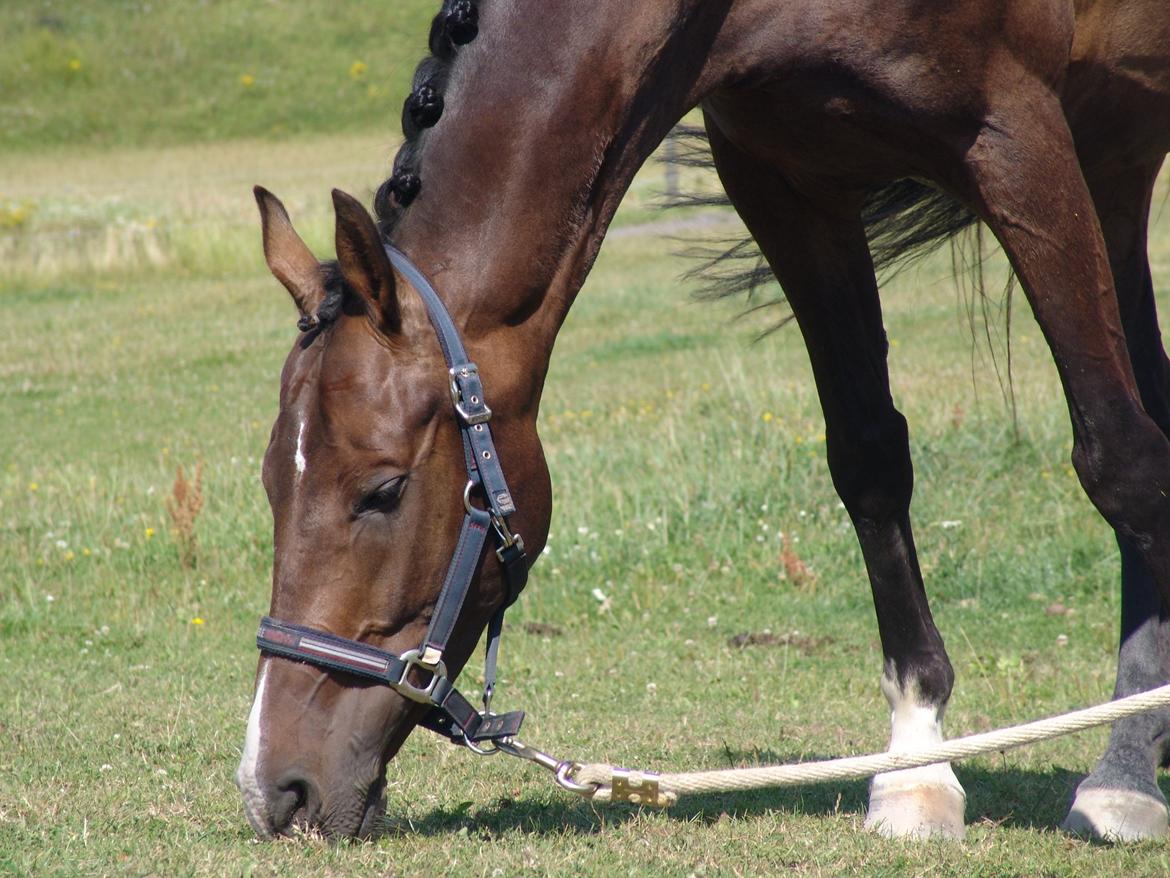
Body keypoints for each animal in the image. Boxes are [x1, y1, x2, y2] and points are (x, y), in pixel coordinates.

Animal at [232, 0, 1170, 842]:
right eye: (272, 486)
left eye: (383, 491)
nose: (277, 789)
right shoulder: (784, 179)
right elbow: (869, 459)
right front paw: (916, 768)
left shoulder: (1016, 136)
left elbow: (1120, 463)